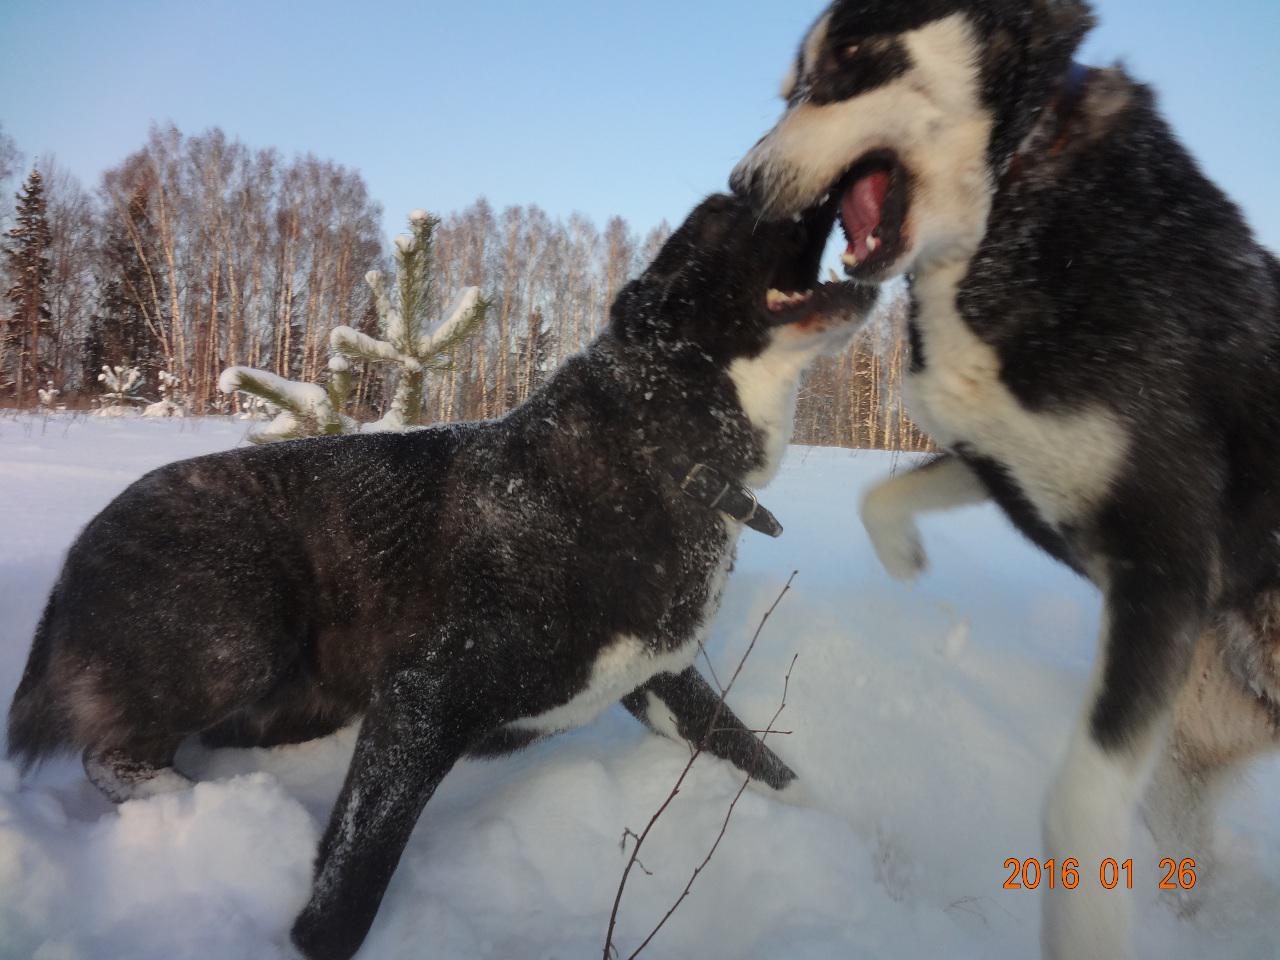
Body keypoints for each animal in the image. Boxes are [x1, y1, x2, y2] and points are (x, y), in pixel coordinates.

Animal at [5, 195, 875, 960]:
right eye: (725, 214)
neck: (653, 454)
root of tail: (73, 561)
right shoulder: (422, 699)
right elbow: (346, 897)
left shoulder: (662, 681)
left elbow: (776, 772)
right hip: (242, 626)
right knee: (114, 757)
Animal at [732, 1, 1280, 960]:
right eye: (788, 87)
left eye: (849, 56)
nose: (743, 183)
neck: (1014, 198)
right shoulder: (1000, 456)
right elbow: (883, 491)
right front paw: (906, 560)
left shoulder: (1163, 561)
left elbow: (1077, 805)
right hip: (1189, 751)